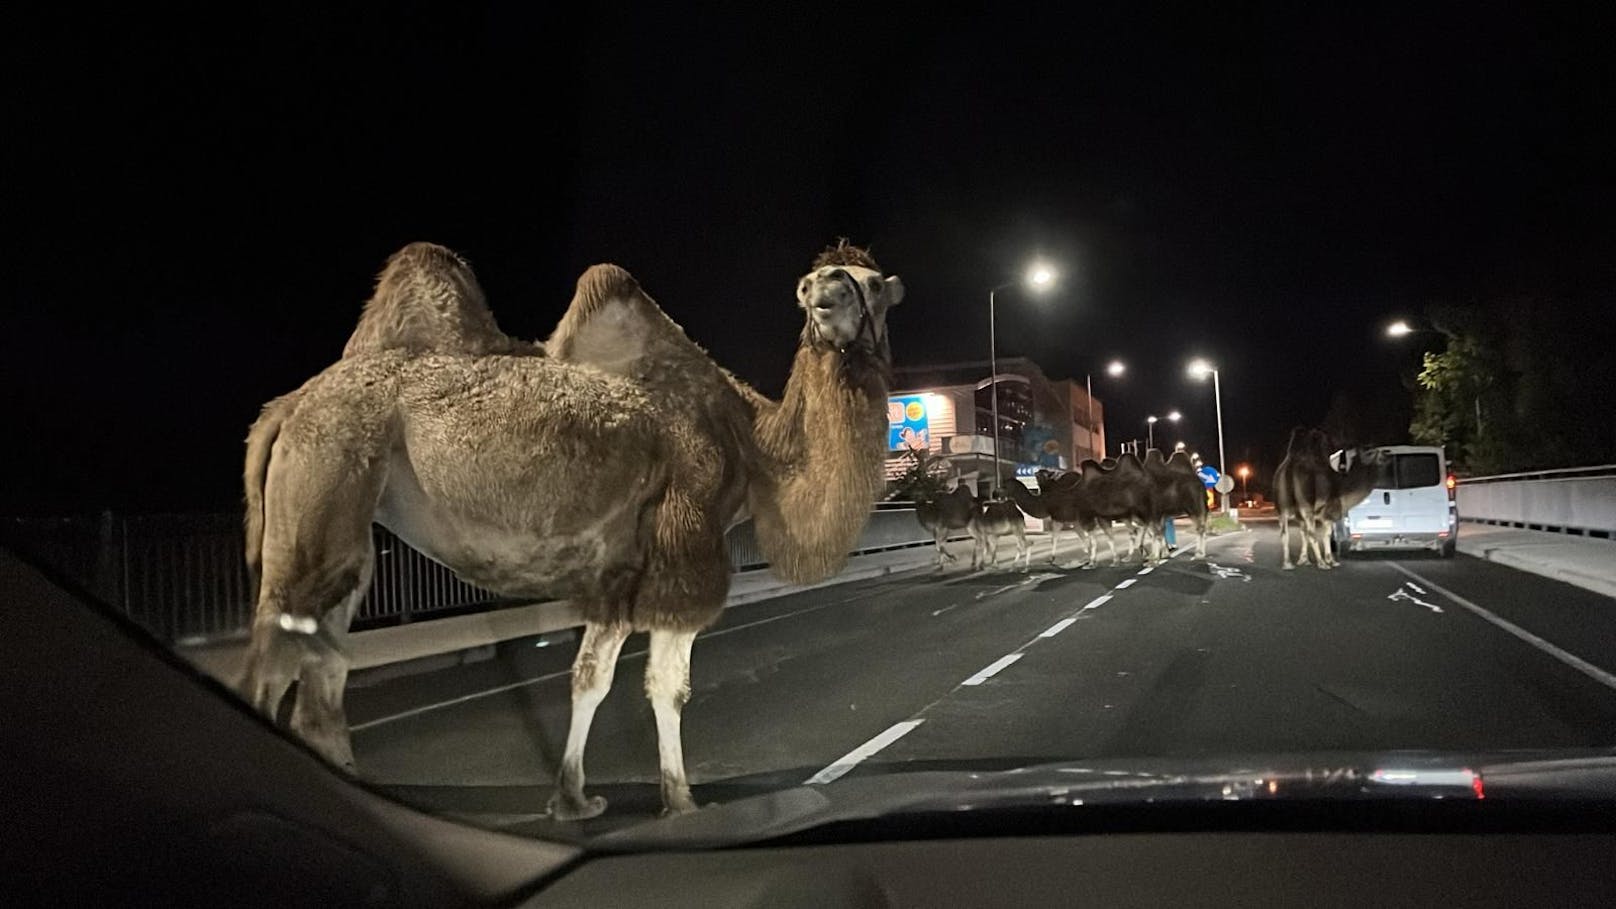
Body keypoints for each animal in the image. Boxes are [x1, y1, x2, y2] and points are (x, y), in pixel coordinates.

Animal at [239, 237, 904, 818]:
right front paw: (681, 801)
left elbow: (591, 678)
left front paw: (573, 798)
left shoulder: (619, 567)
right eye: (811, 283)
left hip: (343, 533)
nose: (823, 292)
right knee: (271, 669)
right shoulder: (681, 556)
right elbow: (668, 685)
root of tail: (284, 408)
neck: (752, 443)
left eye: (872, 283)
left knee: (324, 670)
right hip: (321, 492)